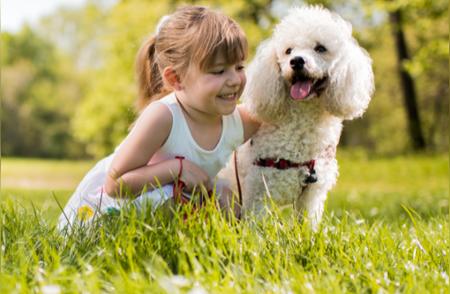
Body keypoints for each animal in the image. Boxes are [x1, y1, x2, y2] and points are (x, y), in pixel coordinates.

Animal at [223, 5, 374, 229]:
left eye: (320, 48)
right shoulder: (259, 191)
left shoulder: (311, 193)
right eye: (288, 51)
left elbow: (306, 225)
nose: (296, 61)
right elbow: (257, 228)